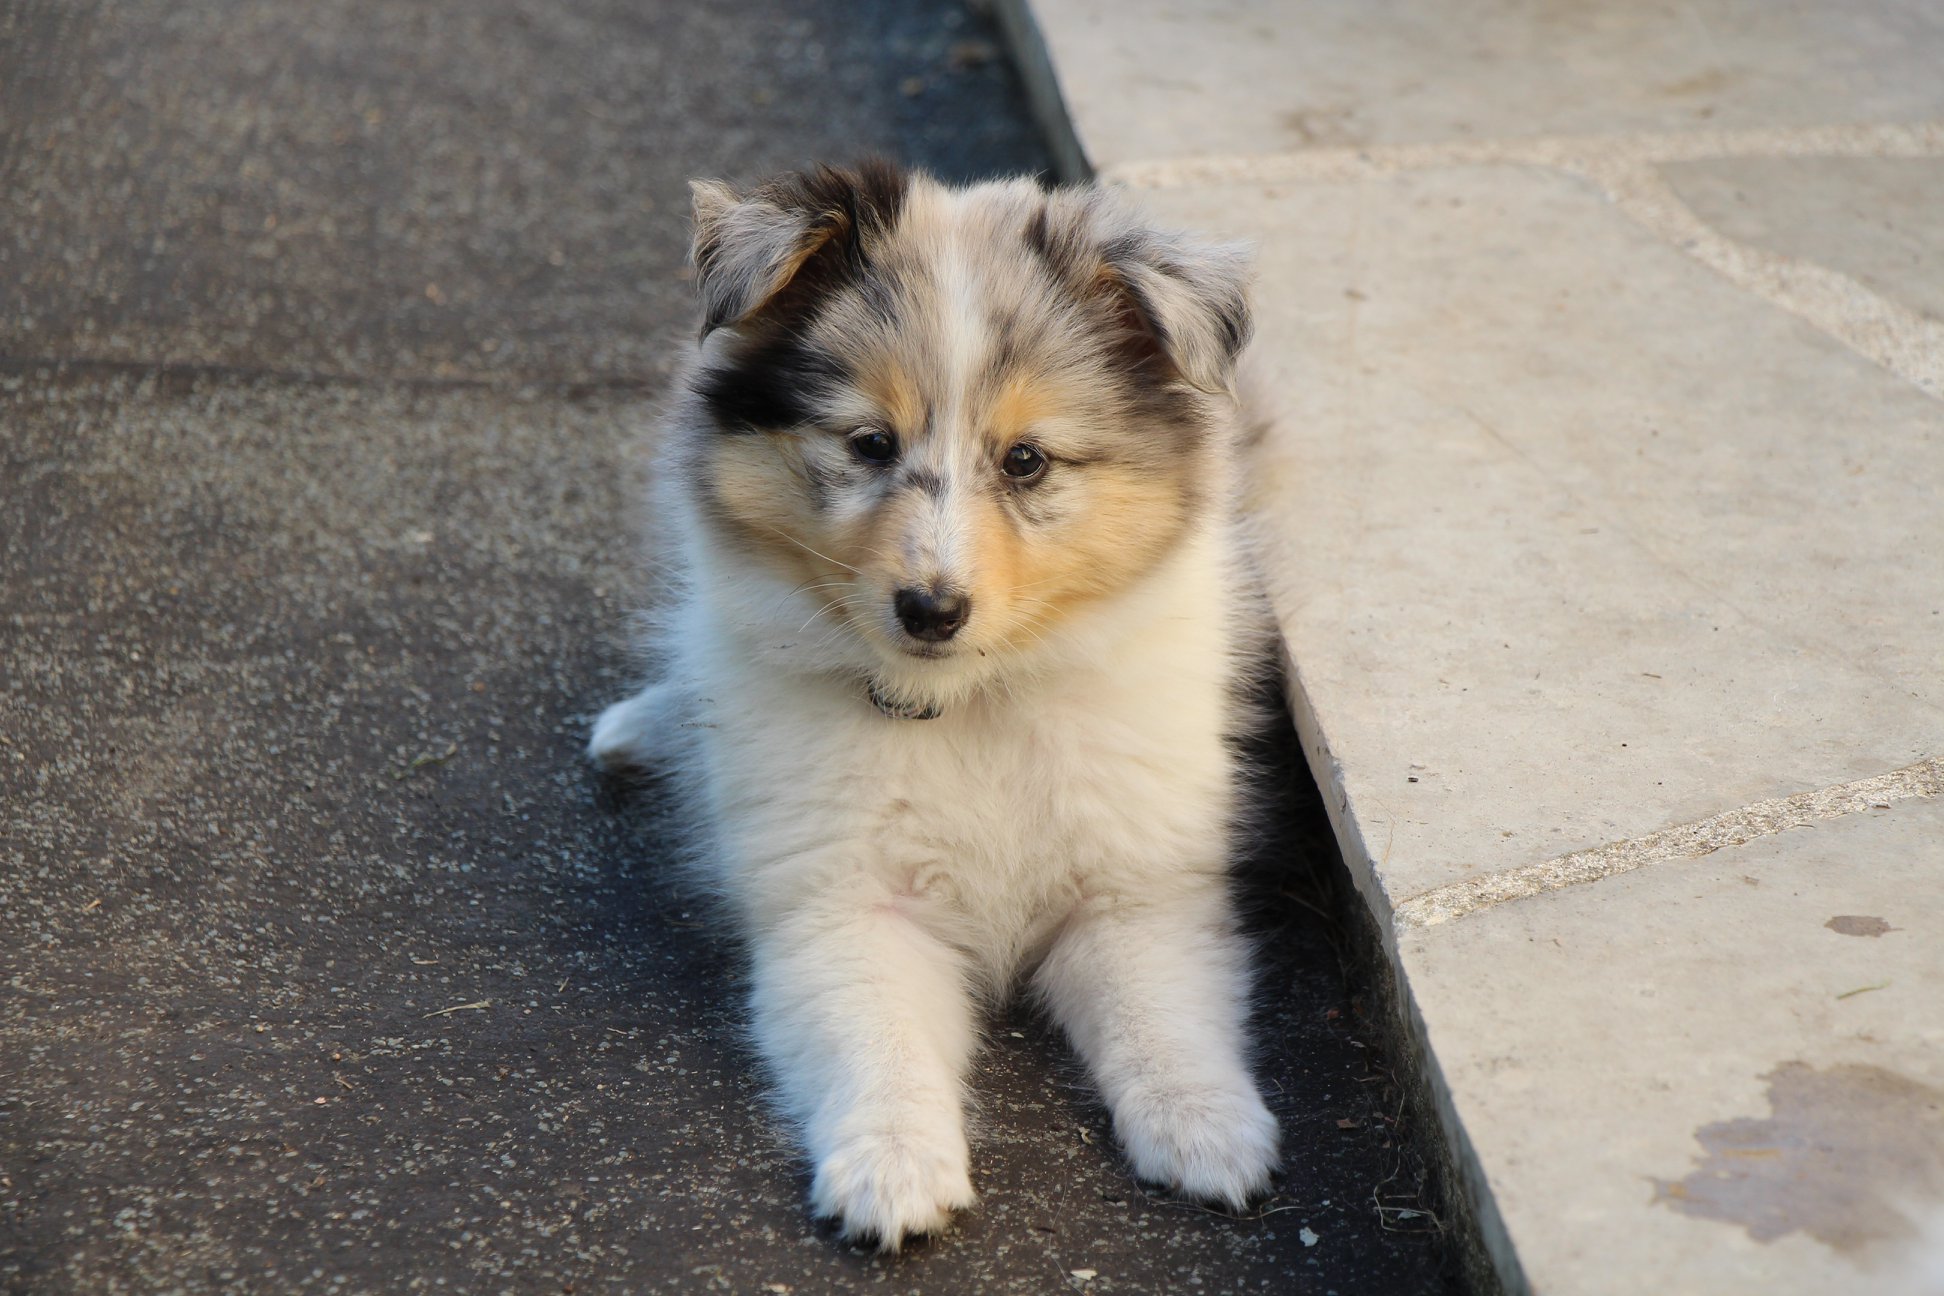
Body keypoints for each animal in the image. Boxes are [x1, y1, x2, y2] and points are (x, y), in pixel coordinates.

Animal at [590, 159, 1283, 1243]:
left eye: (1027, 460)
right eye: (869, 444)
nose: (931, 609)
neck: (967, 702)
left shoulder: (1137, 889)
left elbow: (1162, 1012)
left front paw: (1209, 1132)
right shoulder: (839, 900)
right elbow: (876, 1032)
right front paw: (891, 1168)